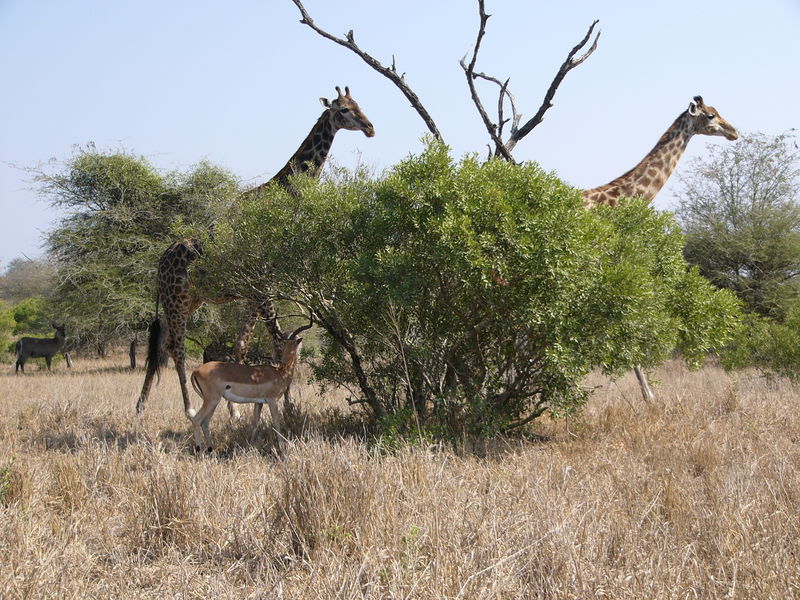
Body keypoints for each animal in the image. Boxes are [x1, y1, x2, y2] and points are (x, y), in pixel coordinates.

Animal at [136, 86, 376, 418]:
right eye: (343, 110)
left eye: (358, 104)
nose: (370, 128)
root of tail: (160, 262)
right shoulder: (263, 287)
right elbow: (278, 341)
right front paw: (287, 404)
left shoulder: (256, 290)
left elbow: (241, 345)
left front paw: (236, 410)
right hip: (176, 300)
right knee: (176, 347)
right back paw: (187, 408)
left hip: (189, 301)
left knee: (160, 344)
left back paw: (140, 407)